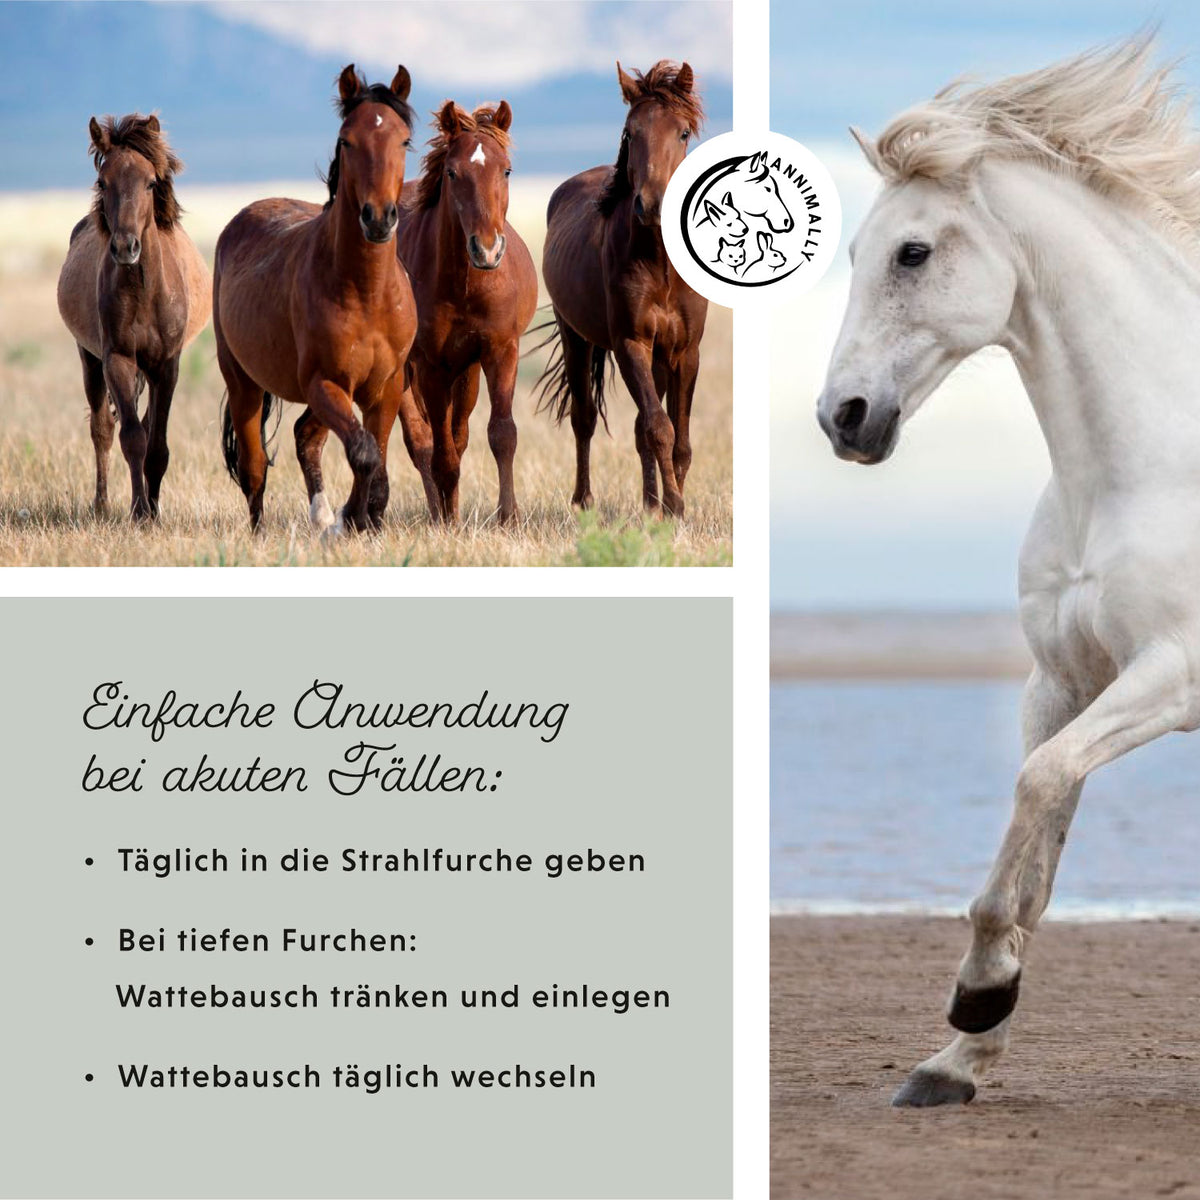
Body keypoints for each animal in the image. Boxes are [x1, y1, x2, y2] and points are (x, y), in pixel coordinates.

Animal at [56, 113, 210, 520]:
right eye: (102, 181)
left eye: (151, 182)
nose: (126, 247)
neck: (144, 291)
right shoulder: (119, 360)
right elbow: (131, 438)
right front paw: (140, 512)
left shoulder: (166, 366)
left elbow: (157, 443)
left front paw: (152, 510)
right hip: (89, 359)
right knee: (103, 429)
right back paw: (102, 504)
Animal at [214, 65, 437, 533]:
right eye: (346, 140)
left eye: (403, 140)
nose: (378, 218)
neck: (366, 292)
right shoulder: (325, 383)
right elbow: (365, 453)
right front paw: (351, 518)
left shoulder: (384, 387)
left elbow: (377, 457)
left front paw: (361, 518)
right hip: (243, 383)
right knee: (254, 466)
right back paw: (264, 532)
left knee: (305, 436)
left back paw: (320, 517)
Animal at [297, 100, 537, 525]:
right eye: (452, 172)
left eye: (506, 170)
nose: (487, 249)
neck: (465, 285)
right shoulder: (430, 366)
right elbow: (439, 453)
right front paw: (448, 522)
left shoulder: (500, 350)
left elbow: (501, 434)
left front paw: (507, 516)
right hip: (409, 375)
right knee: (423, 443)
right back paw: (438, 514)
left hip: (465, 372)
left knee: (458, 435)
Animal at [538, 60, 707, 517]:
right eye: (631, 132)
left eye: (683, 132)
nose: (652, 205)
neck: (661, 264)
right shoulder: (631, 343)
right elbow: (660, 427)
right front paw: (675, 506)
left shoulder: (684, 351)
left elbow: (679, 439)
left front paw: (671, 504)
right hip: (575, 337)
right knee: (584, 418)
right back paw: (584, 501)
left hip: (658, 357)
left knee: (636, 428)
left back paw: (649, 504)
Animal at [815, 37, 1200, 1107]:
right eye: (854, 254)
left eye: (912, 252)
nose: (841, 418)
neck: (1136, 470)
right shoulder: (1064, 681)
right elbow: (1035, 850)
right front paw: (958, 1056)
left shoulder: (1172, 675)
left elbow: (1038, 785)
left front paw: (979, 996)